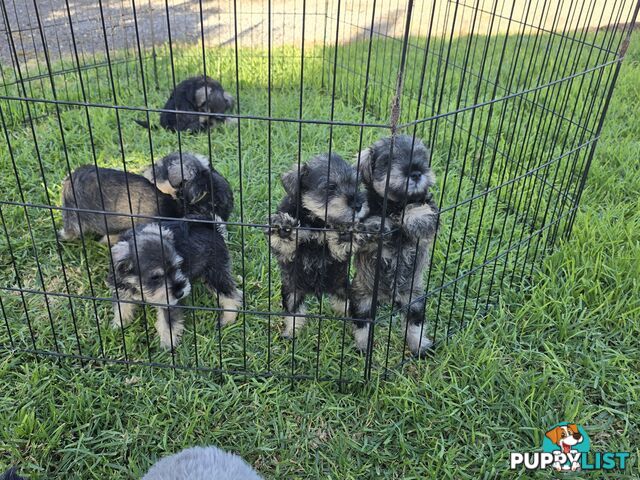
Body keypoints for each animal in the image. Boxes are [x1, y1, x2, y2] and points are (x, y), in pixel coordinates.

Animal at [108, 218, 242, 348]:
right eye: (155, 277)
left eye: (177, 266)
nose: (180, 293)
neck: (137, 285)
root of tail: (211, 227)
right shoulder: (121, 289)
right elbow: (122, 307)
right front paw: (119, 325)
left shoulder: (169, 302)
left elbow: (167, 324)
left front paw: (166, 345)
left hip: (216, 274)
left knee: (231, 294)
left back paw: (228, 319)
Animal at [264, 153, 368, 338]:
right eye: (330, 187)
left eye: (356, 184)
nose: (358, 205)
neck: (316, 222)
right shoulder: (287, 254)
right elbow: (284, 242)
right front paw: (283, 227)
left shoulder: (337, 255)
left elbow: (341, 245)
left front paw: (348, 230)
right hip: (292, 292)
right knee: (294, 314)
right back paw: (291, 333)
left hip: (343, 288)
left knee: (347, 308)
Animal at [350, 134, 440, 356]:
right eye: (388, 160)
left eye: (422, 157)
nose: (416, 172)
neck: (394, 204)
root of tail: (388, 298)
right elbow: (370, 222)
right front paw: (378, 224)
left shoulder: (431, 217)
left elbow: (422, 209)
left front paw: (414, 216)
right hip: (361, 298)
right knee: (362, 324)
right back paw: (363, 347)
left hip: (414, 299)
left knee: (414, 324)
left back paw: (420, 347)